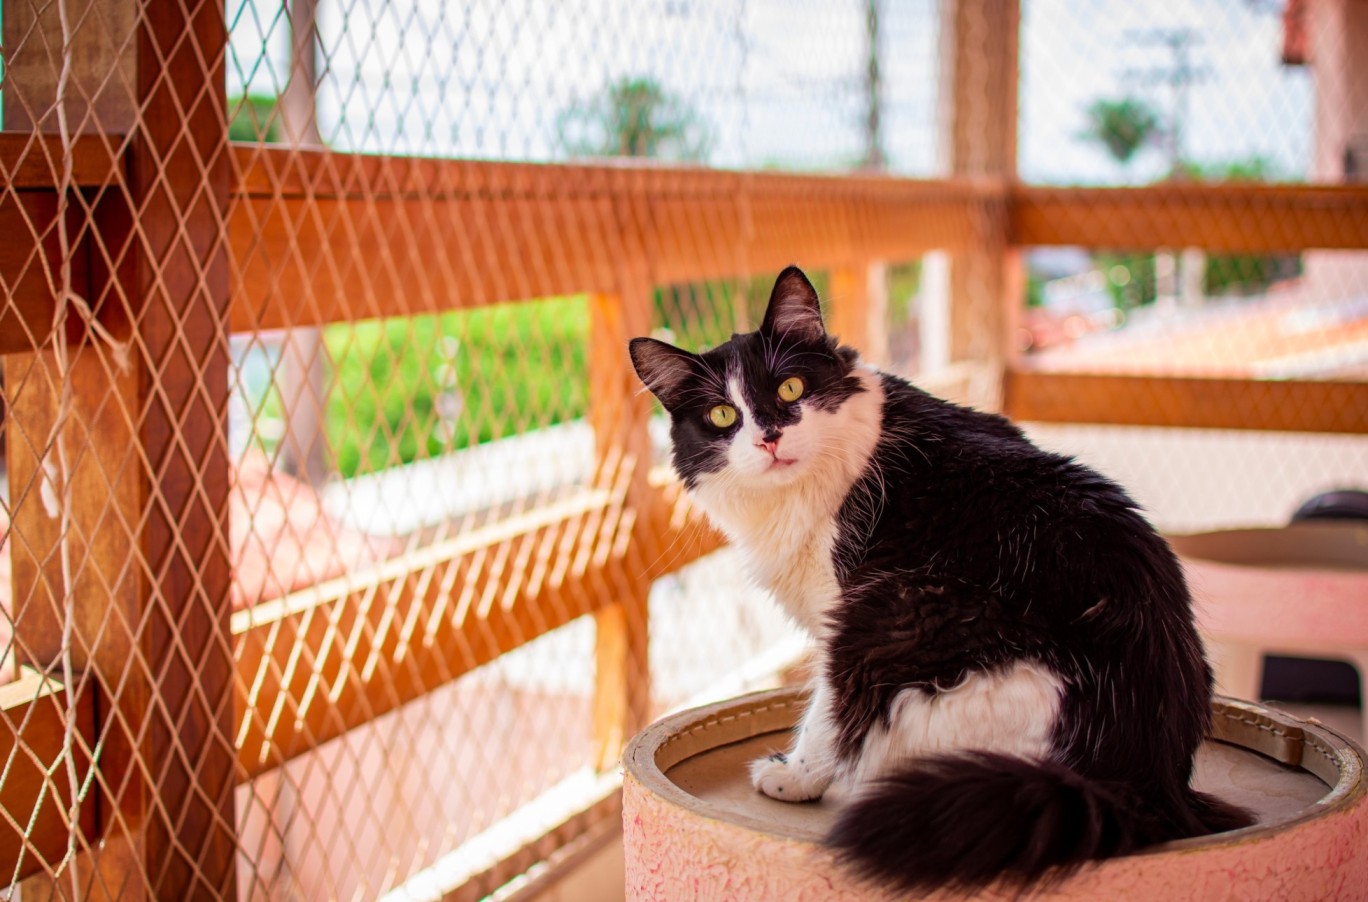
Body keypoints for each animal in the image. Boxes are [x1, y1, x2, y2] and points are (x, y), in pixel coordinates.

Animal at [629, 266, 1253, 886]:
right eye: (723, 416)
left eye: (790, 389)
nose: (769, 437)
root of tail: (1141, 779)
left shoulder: (840, 619)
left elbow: (824, 715)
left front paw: (794, 776)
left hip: (896, 620)